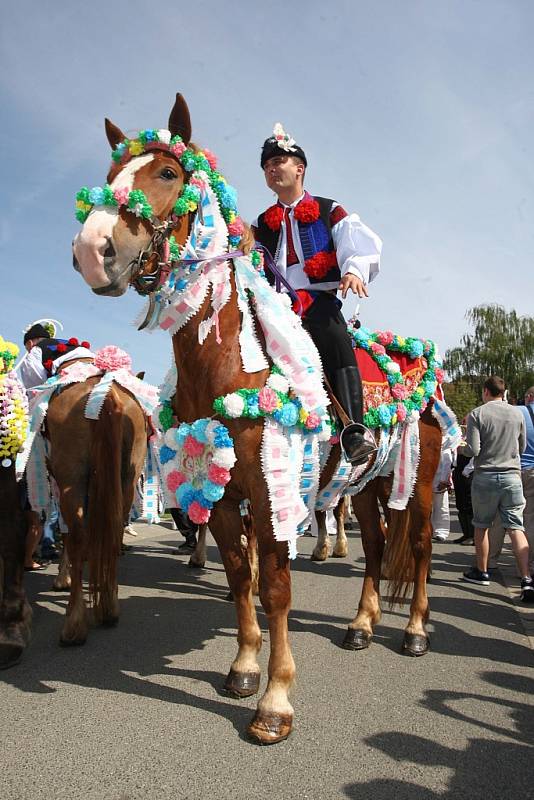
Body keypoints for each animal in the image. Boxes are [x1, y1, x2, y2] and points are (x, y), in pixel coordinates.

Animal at [72, 94, 444, 744]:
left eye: (168, 172)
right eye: (111, 172)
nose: (94, 251)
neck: (226, 365)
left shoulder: (273, 495)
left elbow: (274, 587)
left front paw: (275, 700)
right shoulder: (221, 494)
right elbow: (238, 578)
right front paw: (244, 667)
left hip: (417, 484)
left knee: (418, 548)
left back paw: (415, 631)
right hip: (365, 485)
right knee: (376, 547)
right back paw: (362, 624)